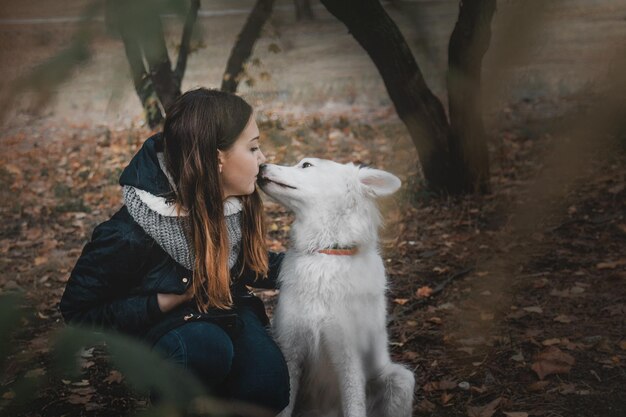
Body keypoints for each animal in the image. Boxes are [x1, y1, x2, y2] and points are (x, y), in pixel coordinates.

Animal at [258, 158, 414, 416]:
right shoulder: (290, 350)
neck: (326, 252)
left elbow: (354, 406)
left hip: (401, 379)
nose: (261, 166)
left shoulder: (349, 358)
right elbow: (285, 407)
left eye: (306, 164)